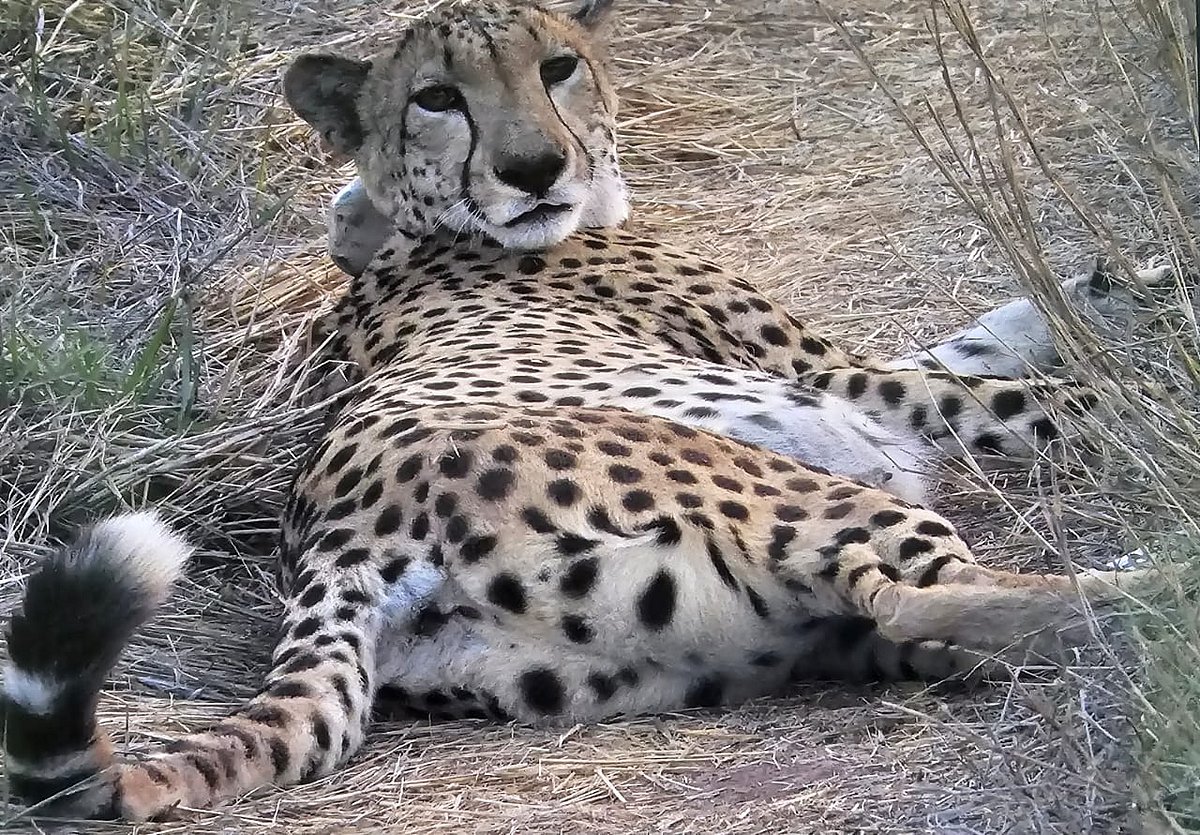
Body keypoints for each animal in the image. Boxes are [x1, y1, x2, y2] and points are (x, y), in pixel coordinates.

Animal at [1, 0, 1168, 822]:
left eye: (556, 67)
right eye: (438, 97)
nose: (534, 168)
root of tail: (338, 544)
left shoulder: (860, 378)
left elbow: (994, 331)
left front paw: (1127, 277)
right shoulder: (849, 382)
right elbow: (1040, 393)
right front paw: (1150, 371)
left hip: (708, 645)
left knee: (930, 629)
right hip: (798, 497)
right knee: (921, 598)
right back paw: (1157, 595)